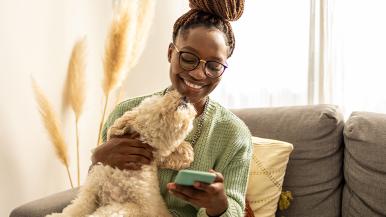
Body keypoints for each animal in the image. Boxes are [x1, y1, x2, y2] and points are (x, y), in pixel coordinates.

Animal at [47, 89, 198, 216]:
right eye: (160, 97)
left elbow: (105, 212)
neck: (121, 174)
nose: (186, 97)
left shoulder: (134, 207)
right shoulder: (90, 192)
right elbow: (75, 208)